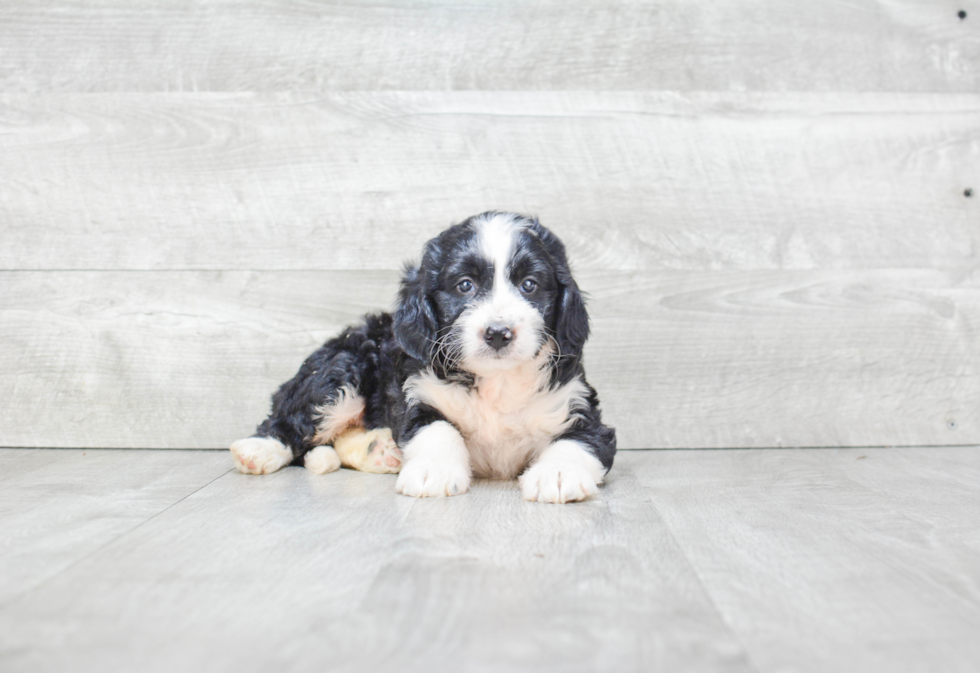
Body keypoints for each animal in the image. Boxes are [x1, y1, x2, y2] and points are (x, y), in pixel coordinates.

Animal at [230, 213, 612, 502]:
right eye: (465, 285)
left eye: (529, 284)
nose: (498, 333)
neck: (497, 382)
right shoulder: (417, 396)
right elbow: (438, 428)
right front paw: (434, 471)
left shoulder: (579, 406)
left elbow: (579, 440)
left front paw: (558, 474)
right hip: (340, 373)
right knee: (292, 420)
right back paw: (259, 450)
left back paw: (380, 450)